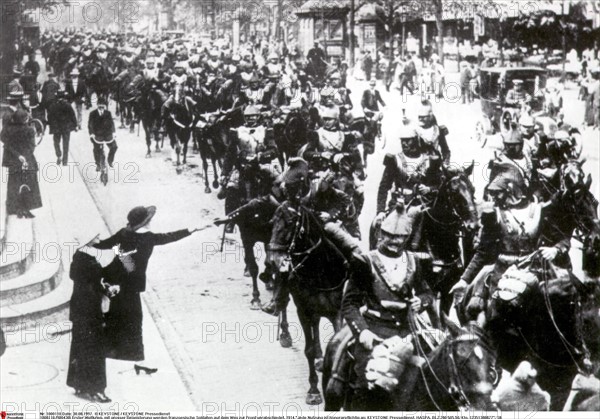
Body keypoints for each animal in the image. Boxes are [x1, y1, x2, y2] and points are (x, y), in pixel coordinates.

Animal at [268, 202, 350, 406]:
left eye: (290, 223)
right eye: (272, 221)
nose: (273, 260)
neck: (320, 269)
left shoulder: (337, 312)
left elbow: (336, 339)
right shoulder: (303, 311)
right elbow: (309, 350)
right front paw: (313, 391)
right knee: (285, 307)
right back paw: (285, 334)